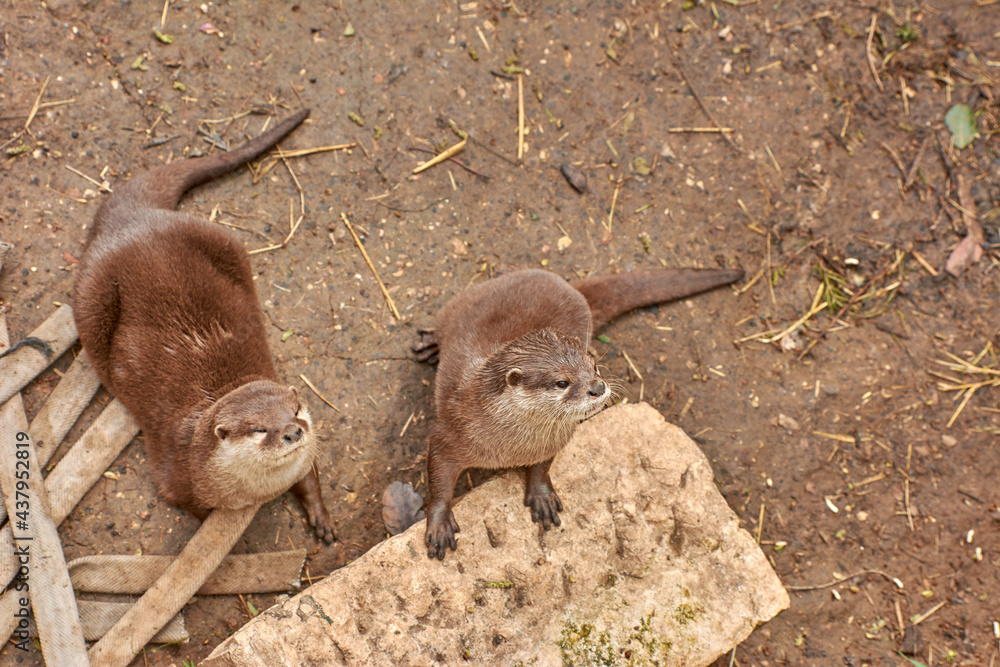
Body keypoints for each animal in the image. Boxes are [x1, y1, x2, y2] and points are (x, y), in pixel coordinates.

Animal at [73, 108, 334, 543]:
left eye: (297, 411)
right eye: (259, 429)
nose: (292, 431)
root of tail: (135, 220)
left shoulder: (305, 457)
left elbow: (310, 474)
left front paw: (321, 517)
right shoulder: (179, 479)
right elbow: (198, 512)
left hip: (223, 241)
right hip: (91, 298)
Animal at [414, 267, 743, 559]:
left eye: (594, 367)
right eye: (562, 382)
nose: (598, 387)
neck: (511, 447)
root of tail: (568, 285)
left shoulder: (553, 440)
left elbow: (543, 466)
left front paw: (541, 495)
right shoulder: (450, 429)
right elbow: (439, 477)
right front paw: (439, 525)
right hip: (462, 302)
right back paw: (430, 344)